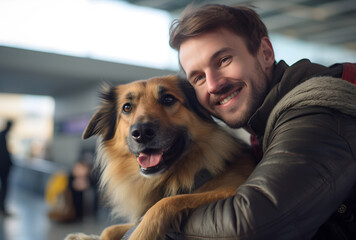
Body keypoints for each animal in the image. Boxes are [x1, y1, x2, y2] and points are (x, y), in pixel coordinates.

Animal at [66, 75, 256, 240]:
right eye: (127, 107)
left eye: (168, 99)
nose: (141, 133)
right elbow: (110, 229)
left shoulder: (231, 189)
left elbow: (166, 202)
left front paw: (140, 235)